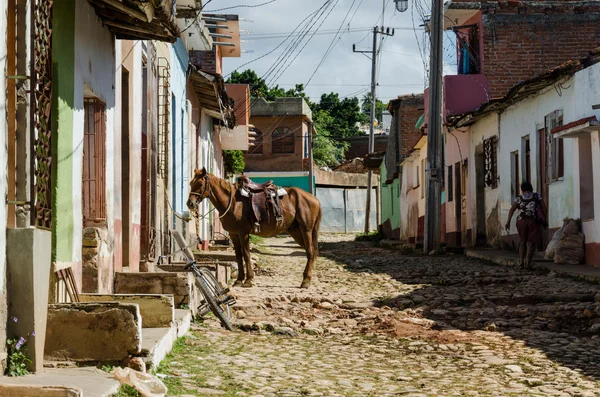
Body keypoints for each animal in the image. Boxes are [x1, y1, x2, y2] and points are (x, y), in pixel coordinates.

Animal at [188, 167, 322, 288]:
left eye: (200, 184)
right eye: (190, 183)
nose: (190, 204)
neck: (233, 203)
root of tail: (314, 199)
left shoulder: (243, 233)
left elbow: (247, 254)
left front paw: (248, 280)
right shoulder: (233, 234)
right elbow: (238, 256)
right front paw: (239, 280)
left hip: (306, 230)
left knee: (310, 251)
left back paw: (305, 281)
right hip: (296, 231)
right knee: (310, 251)